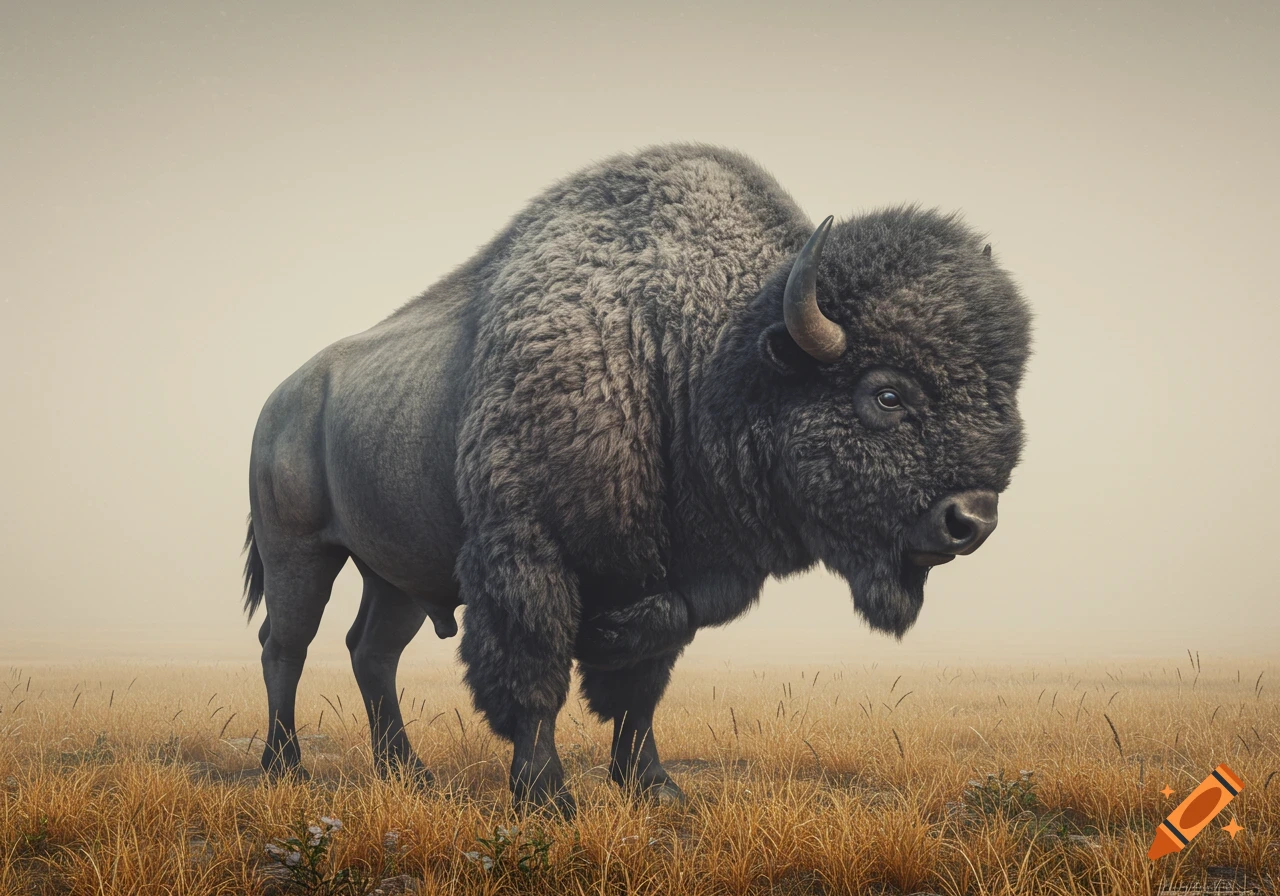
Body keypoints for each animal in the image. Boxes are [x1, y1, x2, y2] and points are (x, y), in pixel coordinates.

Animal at [242, 143, 1031, 814]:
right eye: (887, 395)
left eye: (1004, 393)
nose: (972, 519)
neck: (693, 351)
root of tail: (280, 399)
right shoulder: (526, 553)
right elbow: (535, 673)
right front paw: (546, 797)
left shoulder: (673, 570)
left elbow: (643, 680)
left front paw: (652, 785)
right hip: (300, 552)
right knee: (286, 645)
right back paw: (285, 768)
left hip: (398, 574)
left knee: (370, 652)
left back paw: (407, 772)